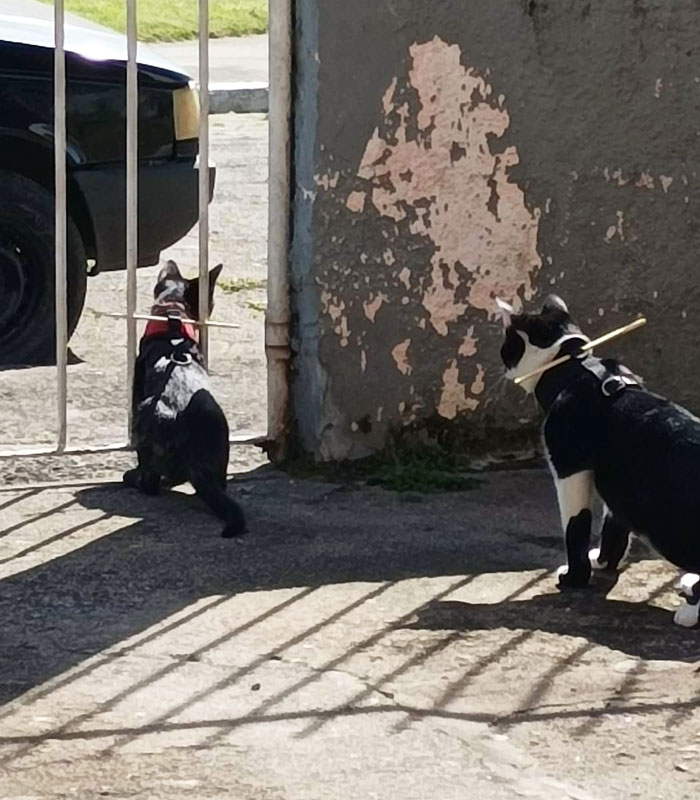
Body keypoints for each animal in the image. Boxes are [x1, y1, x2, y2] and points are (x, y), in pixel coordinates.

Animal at [500, 296, 700, 628]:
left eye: (506, 346)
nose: (502, 366)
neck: (577, 369)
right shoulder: (617, 482)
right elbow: (613, 526)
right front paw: (605, 561)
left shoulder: (569, 469)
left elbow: (575, 528)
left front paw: (573, 577)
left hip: (667, 525)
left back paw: (689, 610)